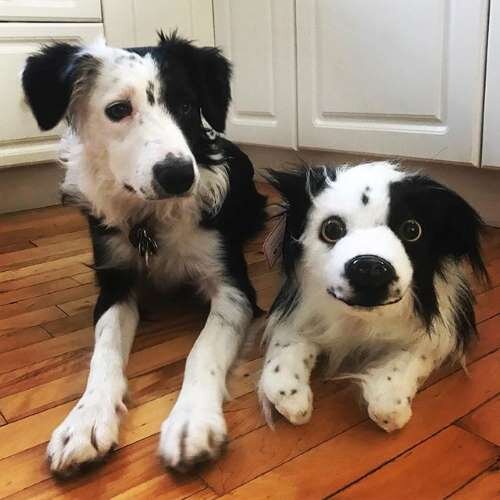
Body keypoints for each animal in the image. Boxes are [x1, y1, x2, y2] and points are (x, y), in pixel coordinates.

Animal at [21, 34, 266, 472]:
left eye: (185, 105)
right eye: (118, 110)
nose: (179, 175)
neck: (151, 219)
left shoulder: (234, 286)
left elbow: (203, 349)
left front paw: (191, 420)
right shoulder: (115, 282)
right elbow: (103, 350)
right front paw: (84, 420)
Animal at [260, 164, 486, 434]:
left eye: (412, 230)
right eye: (331, 229)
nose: (369, 267)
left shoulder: (444, 321)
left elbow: (412, 361)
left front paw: (389, 397)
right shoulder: (296, 304)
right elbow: (287, 345)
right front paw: (290, 394)